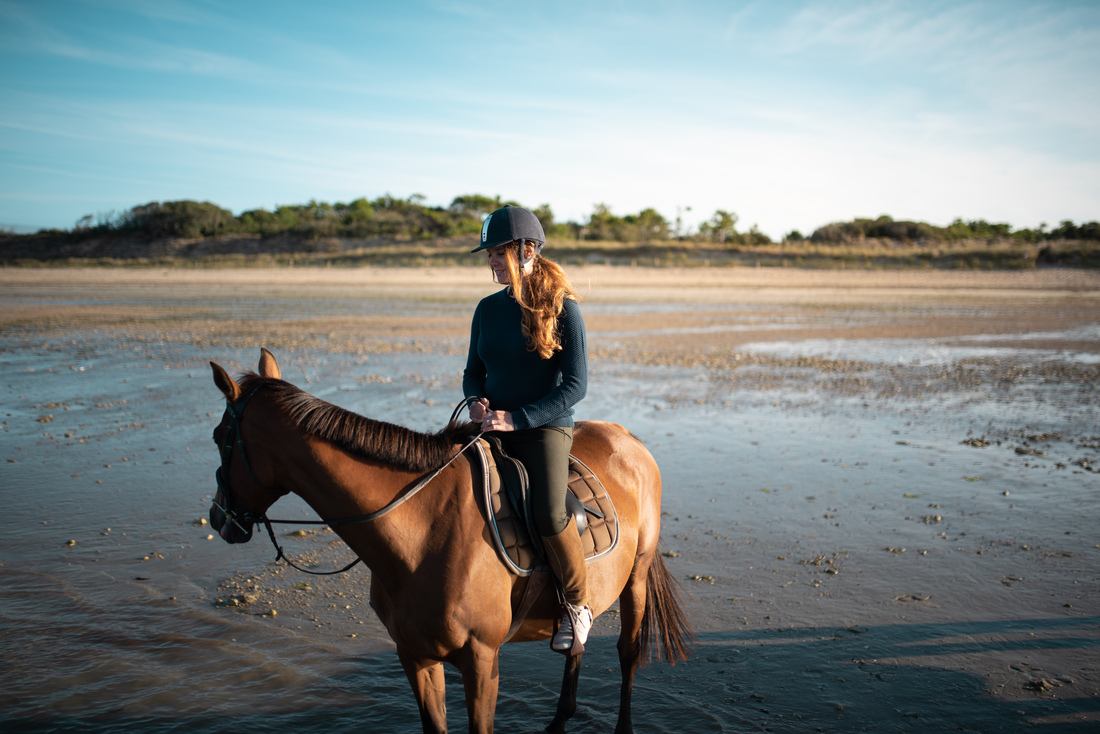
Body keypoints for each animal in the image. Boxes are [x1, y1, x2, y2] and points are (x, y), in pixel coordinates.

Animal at [207, 348, 689, 733]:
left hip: (637, 578)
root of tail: (627, 438)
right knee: (577, 648)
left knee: (627, 653)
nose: (218, 516)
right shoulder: (415, 656)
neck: (420, 532)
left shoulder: (481, 660)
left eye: (218, 437)